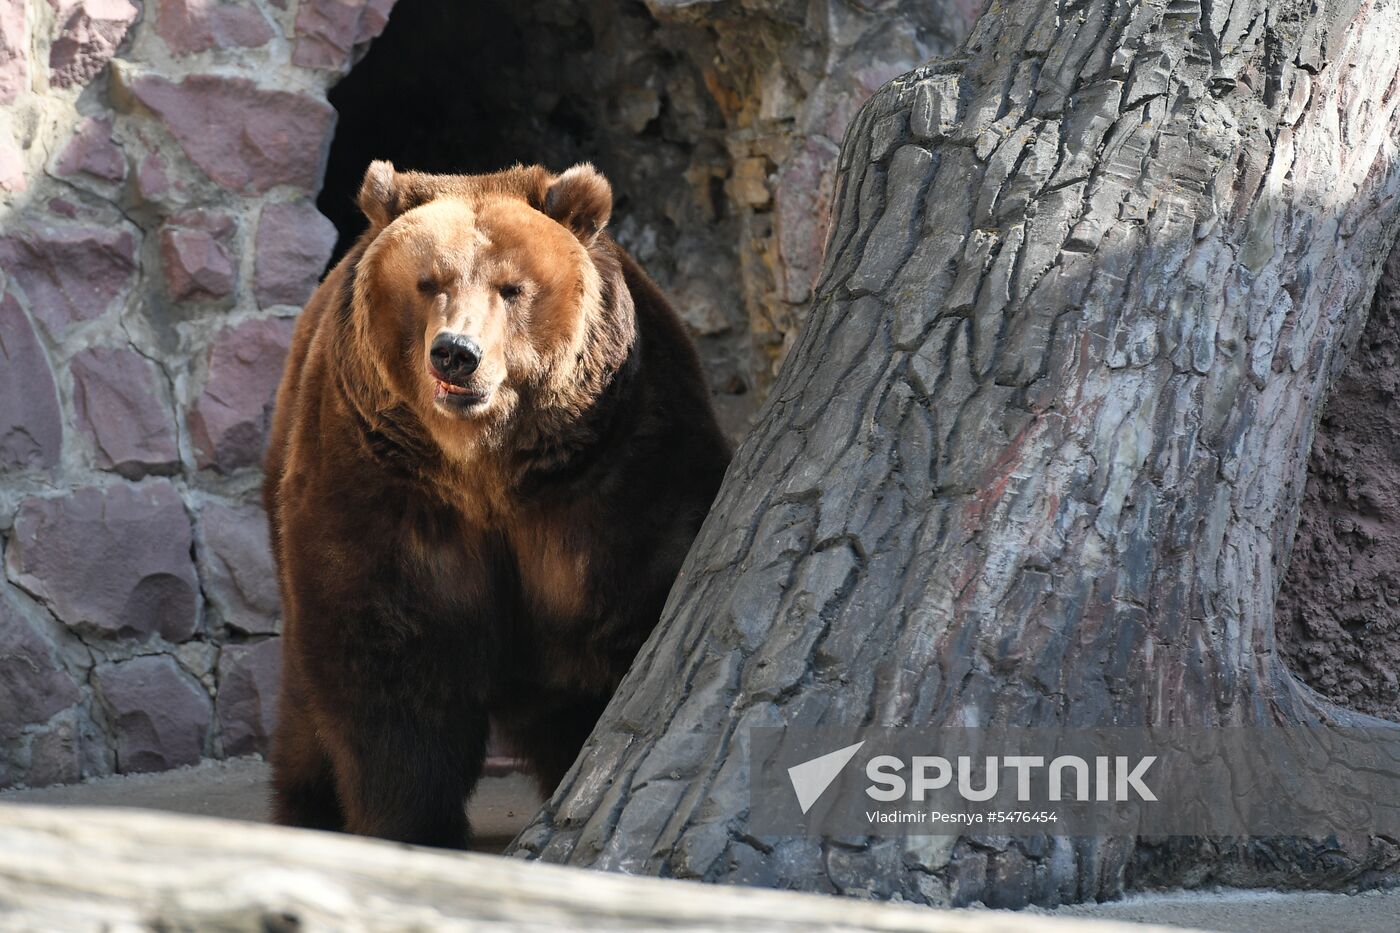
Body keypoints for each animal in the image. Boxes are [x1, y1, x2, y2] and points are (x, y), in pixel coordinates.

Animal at [262, 160, 732, 848]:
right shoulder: (380, 480)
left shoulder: (617, 469)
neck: (489, 469)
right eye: (428, 282)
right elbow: (385, 653)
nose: (456, 353)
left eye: (512, 288)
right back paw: (306, 807)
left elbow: (634, 605)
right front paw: (413, 824)